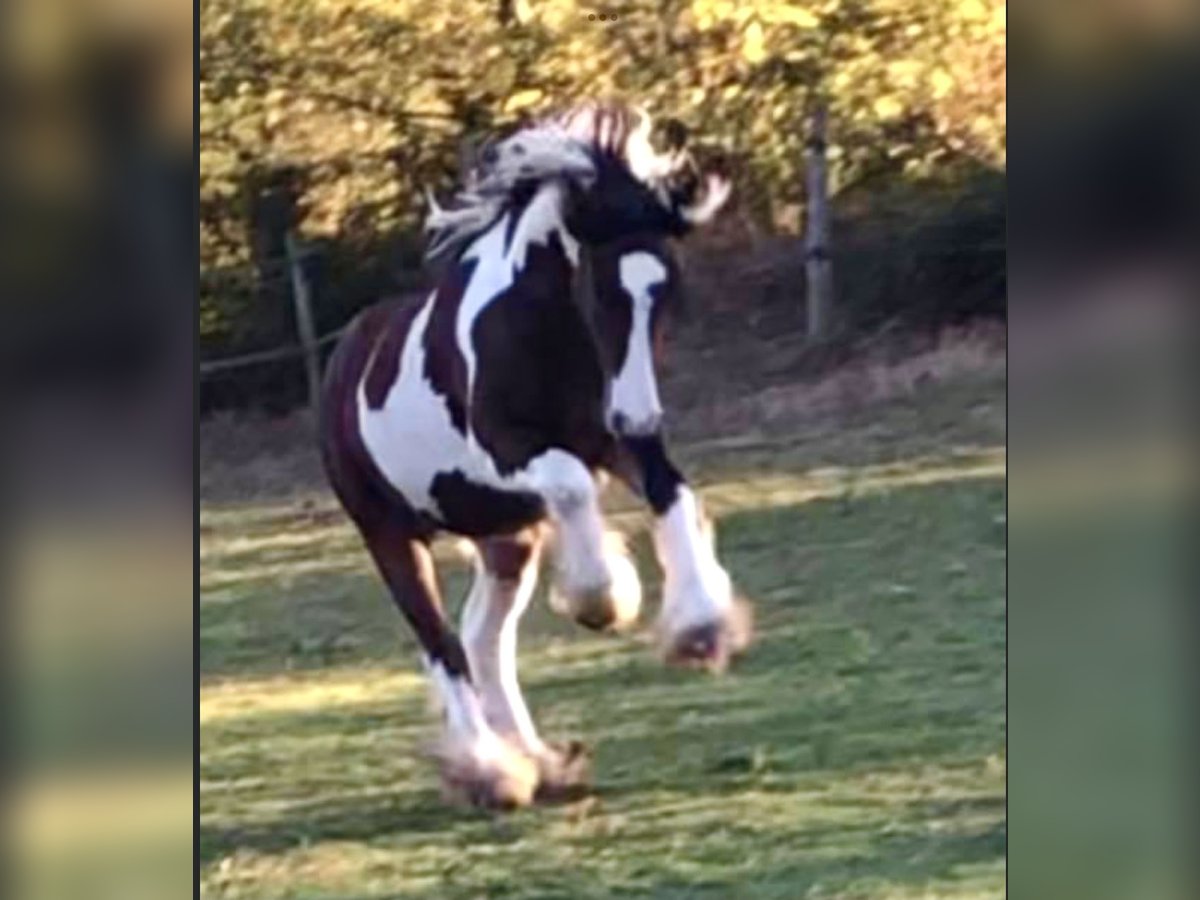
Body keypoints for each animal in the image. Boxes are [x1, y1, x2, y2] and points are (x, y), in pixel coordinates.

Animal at [319, 100, 748, 811]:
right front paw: (603, 598)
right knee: (443, 644)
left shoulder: (610, 442)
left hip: (507, 539)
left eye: (667, 292)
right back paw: (492, 771)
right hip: (390, 533)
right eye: (602, 290)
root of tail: (341, 358)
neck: (536, 327)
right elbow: (574, 487)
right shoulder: (510, 449)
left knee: (484, 640)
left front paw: (700, 627)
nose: (639, 416)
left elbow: (672, 490)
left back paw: (540, 761)